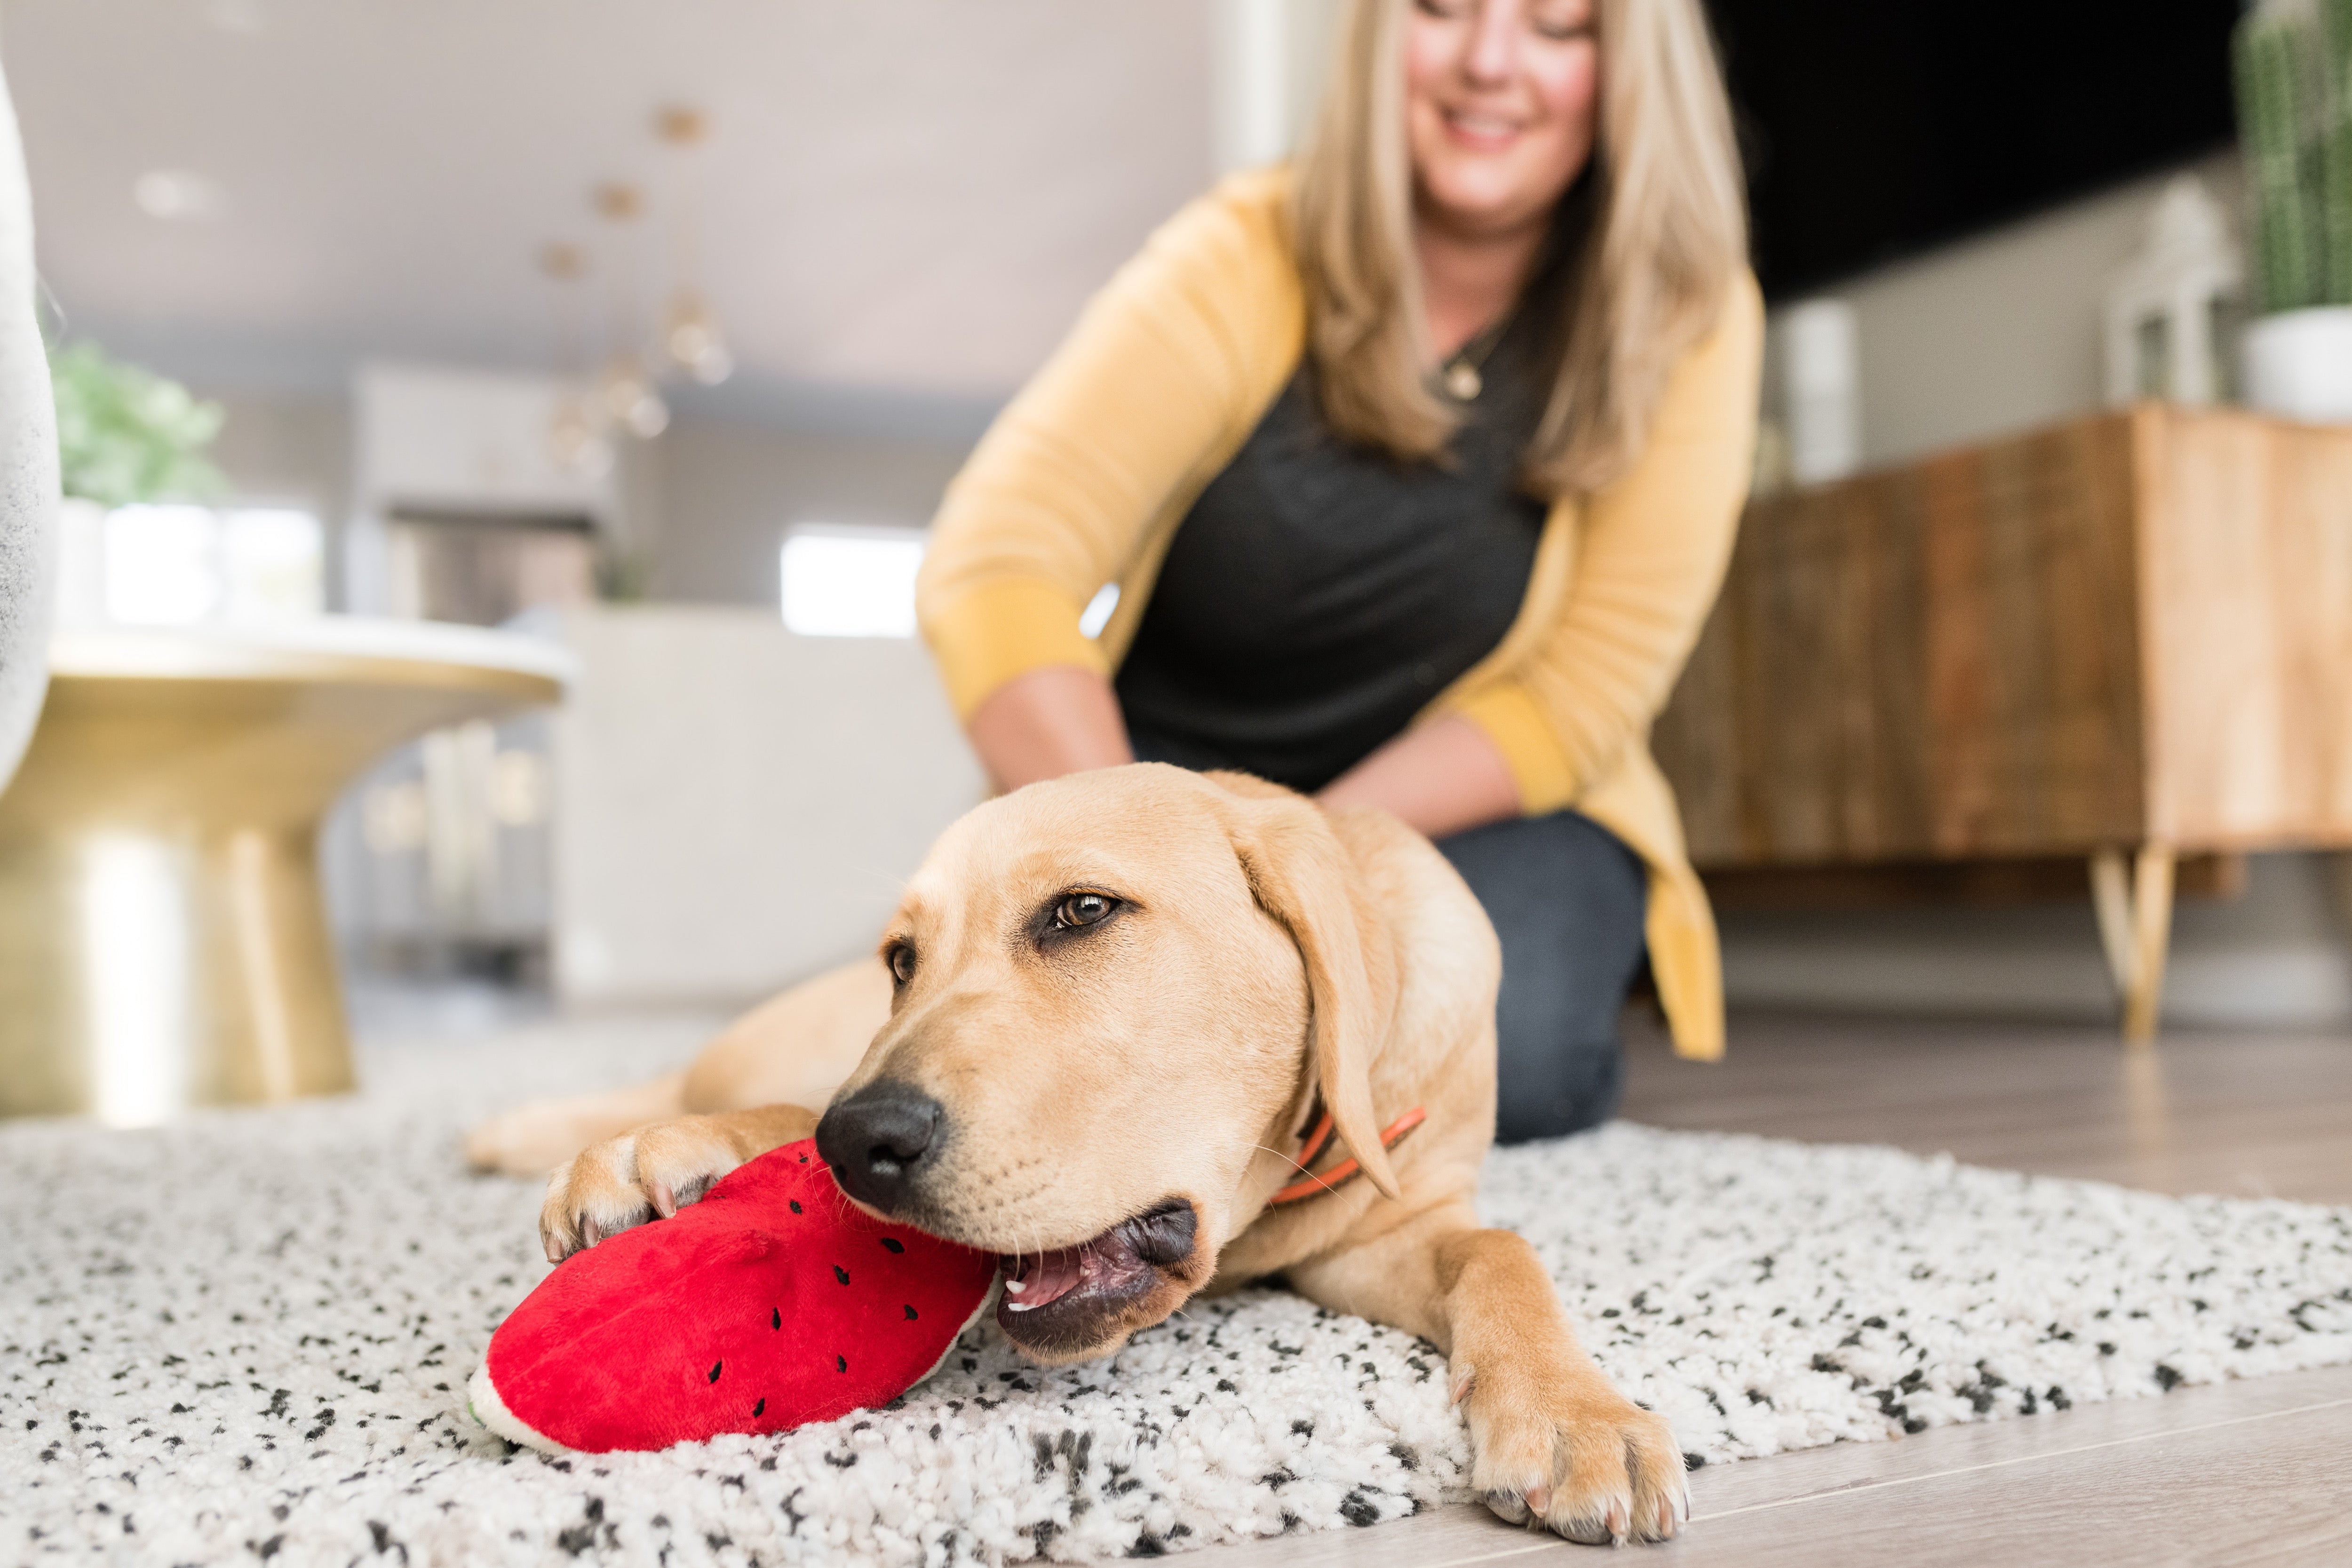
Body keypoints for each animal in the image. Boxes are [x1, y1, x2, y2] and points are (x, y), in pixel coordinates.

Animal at [468, 762, 1684, 1542]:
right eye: (904, 960)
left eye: (1082, 911)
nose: (859, 1144)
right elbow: (771, 1120)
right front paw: (668, 1160)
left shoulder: (1387, 1234)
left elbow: (1504, 1254)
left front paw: (1577, 1414)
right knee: (694, 1084)